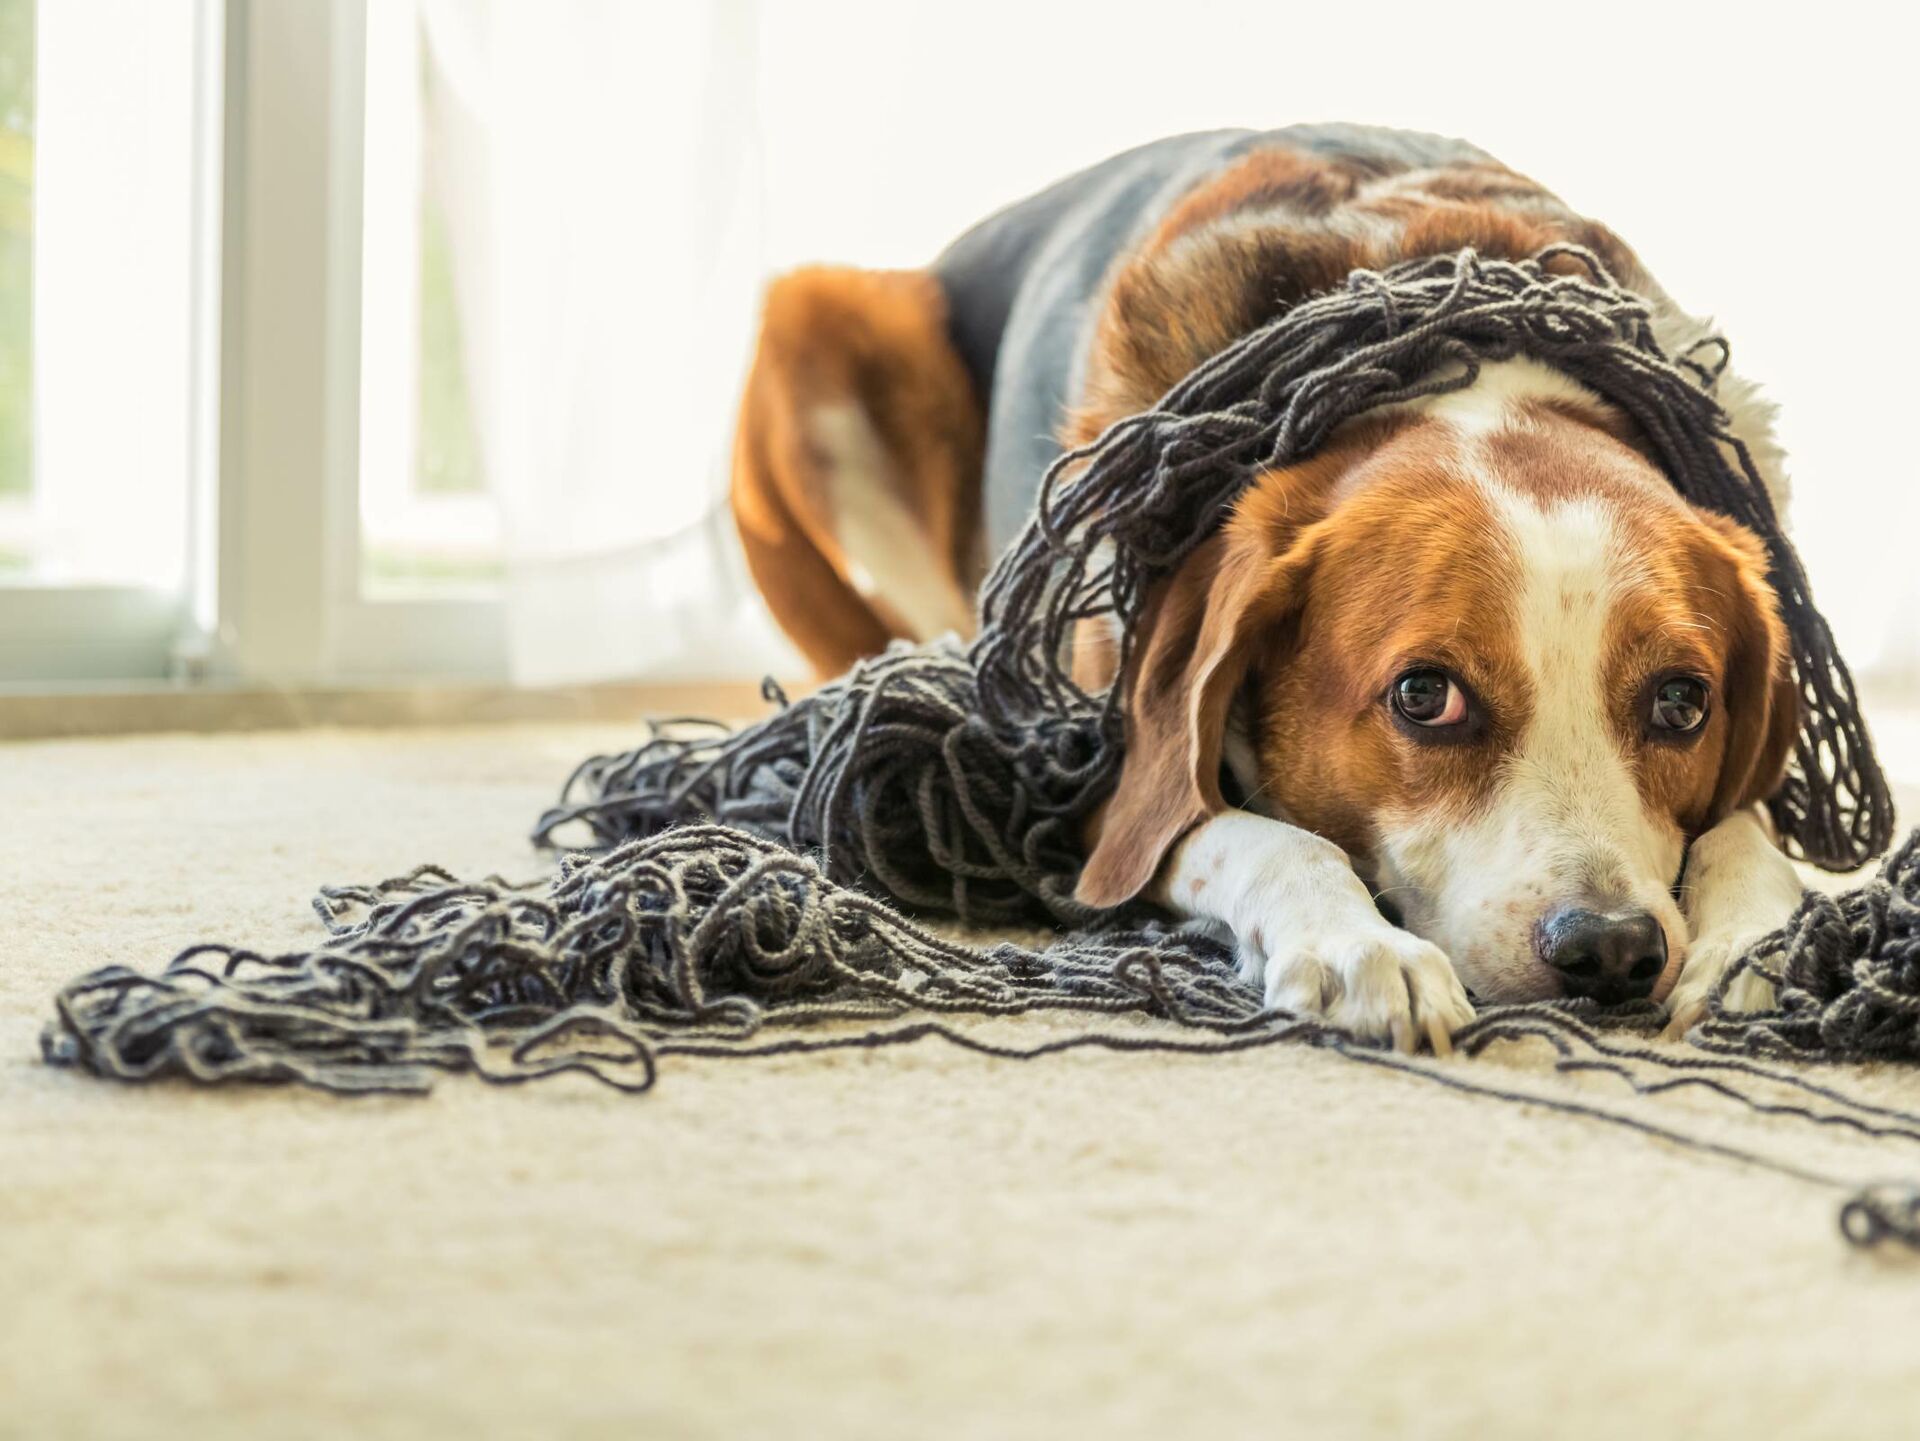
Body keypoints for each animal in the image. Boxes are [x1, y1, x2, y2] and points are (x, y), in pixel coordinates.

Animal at [725, 126, 1804, 1051]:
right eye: (1425, 695)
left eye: (1683, 702)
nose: (1612, 948)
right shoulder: (1083, 782)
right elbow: (1266, 838)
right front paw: (1360, 946)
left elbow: (1745, 827)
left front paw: (1760, 939)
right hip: (807, 332)